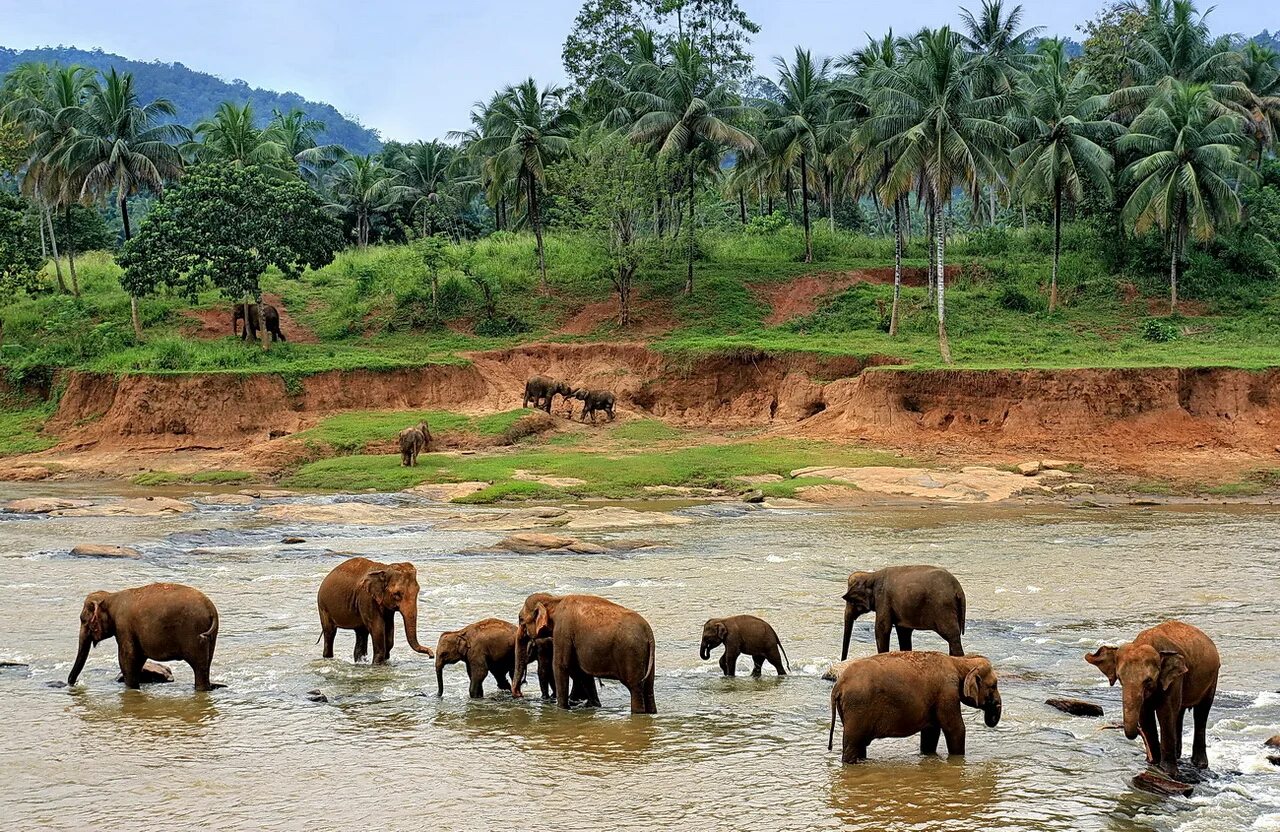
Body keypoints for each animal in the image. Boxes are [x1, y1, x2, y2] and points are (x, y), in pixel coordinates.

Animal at [66, 581, 218, 691]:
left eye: (83, 620)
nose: (74, 683)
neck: (110, 597)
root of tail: (211, 609)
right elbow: (138, 659)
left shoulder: (123, 626)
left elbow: (127, 659)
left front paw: (131, 688)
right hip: (211, 637)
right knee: (206, 664)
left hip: (194, 633)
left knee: (199, 667)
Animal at [509, 588, 655, 711]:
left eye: (520, 619)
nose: (519, 693)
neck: (554, 600)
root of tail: (648, 632)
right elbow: (581, 671)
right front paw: (594, 705)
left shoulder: (563, 631)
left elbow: (560, 666)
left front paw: (561, 708)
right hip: (646, 656)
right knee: (648, 688)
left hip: (632, 654)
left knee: (635, 688)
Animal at [829, 650, 998, 762]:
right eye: (994, 686)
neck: (959, 662)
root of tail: (838, 685)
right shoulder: (947, 692)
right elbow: (955, 728)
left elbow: (931, 732)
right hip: (857, 708)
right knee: (853, 744)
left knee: (859, 745)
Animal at [834, 560, 962, 655]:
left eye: (851, 600)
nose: (843, 660)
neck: (871, 575)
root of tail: (958, 589)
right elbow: (903, 632)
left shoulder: (883, 599)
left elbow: (881, 629)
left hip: (943, 608)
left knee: (952, 637)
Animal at [1085, 614, 1223, 773]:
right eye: (1120, 679)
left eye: (1148, 681)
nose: (1149, 756)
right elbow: (1145, 714)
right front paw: (1153, 763)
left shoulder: (1175, 678)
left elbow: (1166, 712)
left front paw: (1168, 770)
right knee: (1180, 712)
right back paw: (1178, 755)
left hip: (1213, 677)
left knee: (1201, 712)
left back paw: (1200, 764)